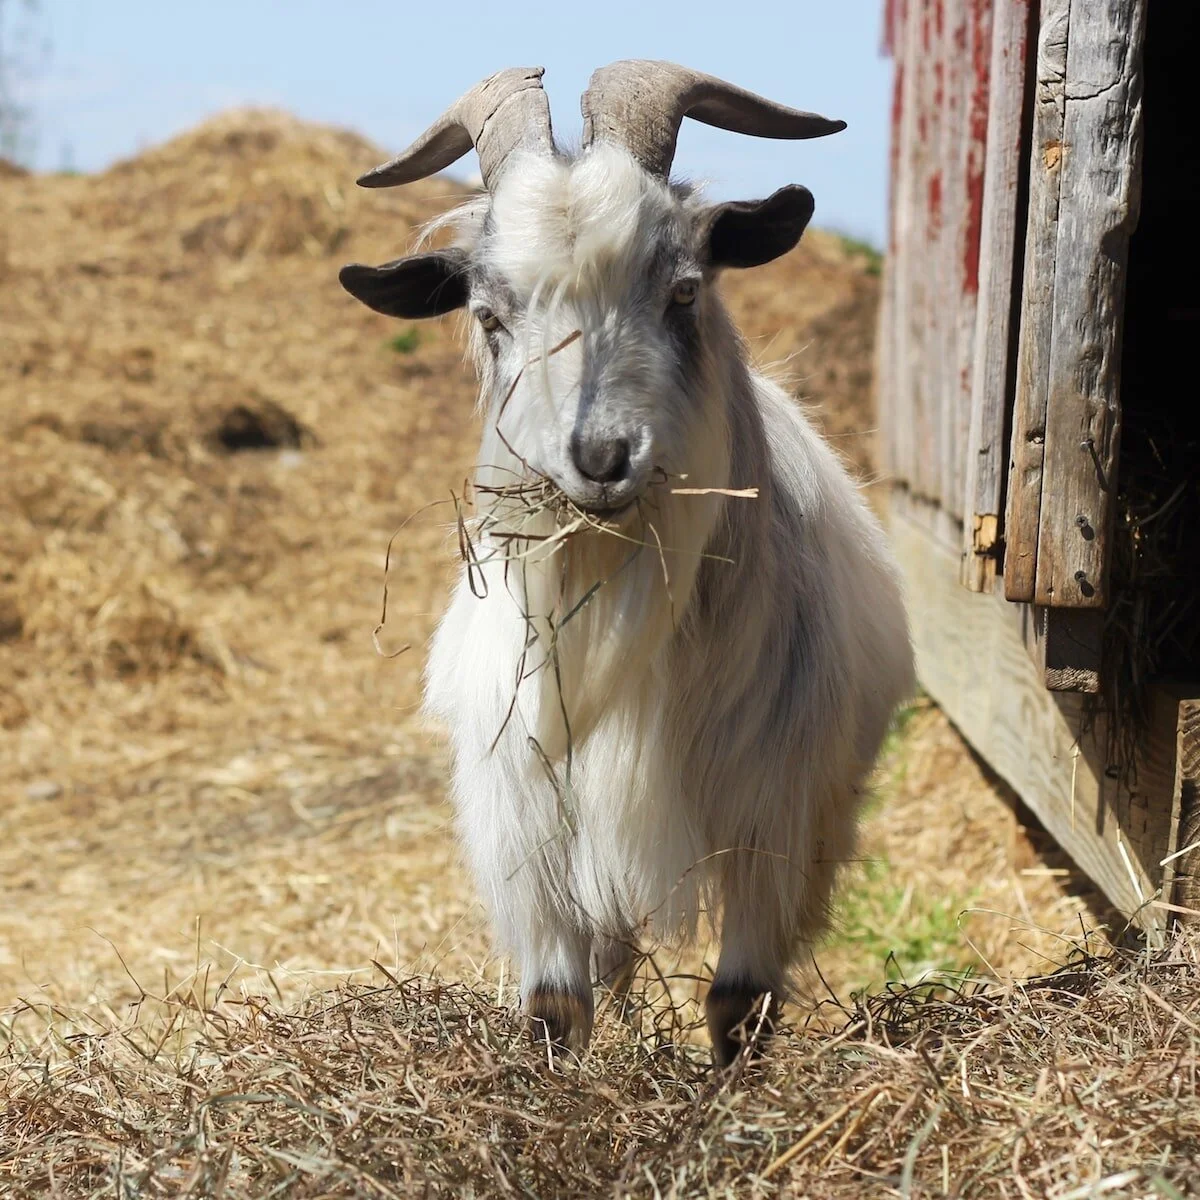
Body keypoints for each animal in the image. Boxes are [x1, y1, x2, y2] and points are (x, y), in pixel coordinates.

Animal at [340, 62, 915, 1067]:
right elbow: (554, 1007)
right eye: (489, 317)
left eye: (683, 291)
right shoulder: (525, 825)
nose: (601, 457)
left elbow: (741, 1001)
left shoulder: (770, 811)